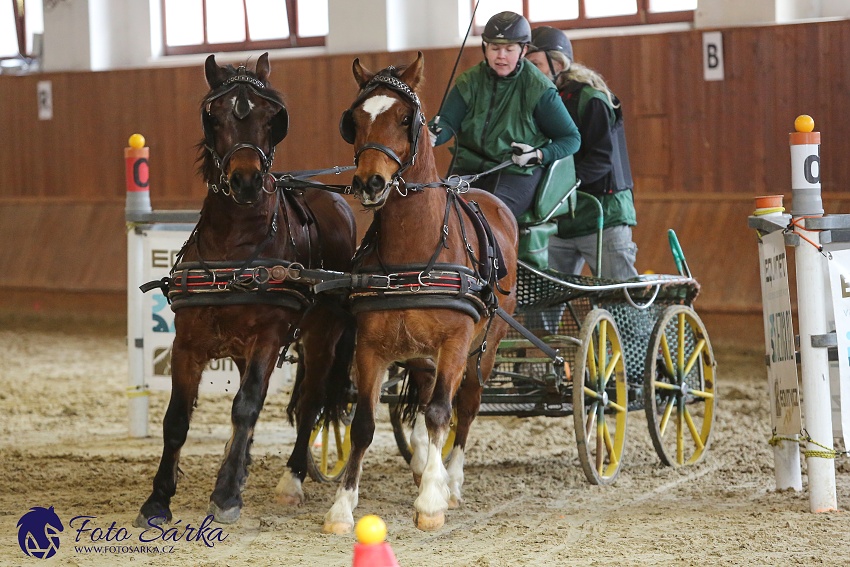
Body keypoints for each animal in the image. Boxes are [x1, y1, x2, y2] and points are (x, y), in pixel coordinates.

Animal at [133, 53, 358, 528]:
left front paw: (226, 494)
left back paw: (292, 479)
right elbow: (176, 418)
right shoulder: (188, 342)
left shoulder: (269, 337)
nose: (247, 181)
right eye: (213, 116)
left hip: (321, 334)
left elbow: (247, 406)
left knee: (309, 402)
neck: (234, 243)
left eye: (273, 118)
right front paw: (158, 498)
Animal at [322, 53, 516, 532]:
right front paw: (342, 506)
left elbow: (441, 413)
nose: (370, 183)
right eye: (354, 120)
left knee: (465, 405)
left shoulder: (456, 342)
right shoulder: (370, 347)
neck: (414, 246)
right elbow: (364, 425)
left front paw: (431, 501)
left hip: (484, 348)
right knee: (426, 395)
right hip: (422, 352)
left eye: (406, 118)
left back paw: (452, 480)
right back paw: (426, 463)